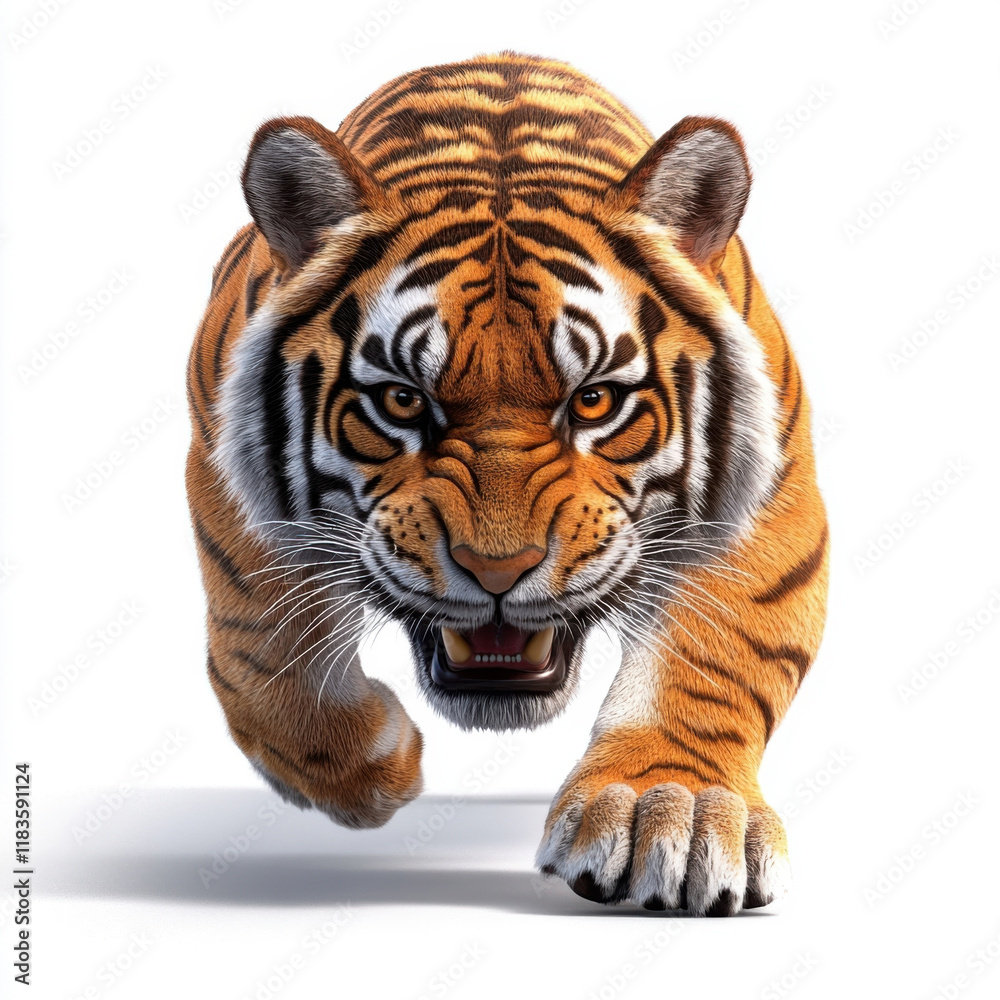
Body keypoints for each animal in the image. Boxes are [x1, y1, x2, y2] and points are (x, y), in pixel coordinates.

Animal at [185, 51, 828, 917]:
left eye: (594, 400)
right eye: (402, 401)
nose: (497, 570)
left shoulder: (772, 500)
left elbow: (716, 656)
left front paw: (672, 812)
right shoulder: (223, 469)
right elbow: (262, 656)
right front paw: (375, 768)